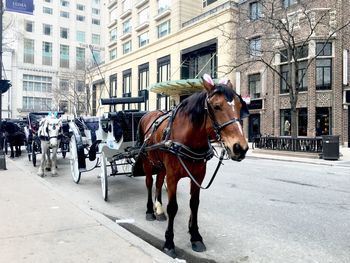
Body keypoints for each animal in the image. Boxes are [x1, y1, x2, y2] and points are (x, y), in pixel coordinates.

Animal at [134, 73, 249, 258]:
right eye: (216, 106)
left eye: (239, 106)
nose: (240, 147)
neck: (189, 138)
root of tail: (148, 115)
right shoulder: (172, 176)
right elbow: (173, 207)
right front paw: (169, 242)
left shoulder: (198, 175)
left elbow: (194, 204)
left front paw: (195, 236)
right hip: (147, 162)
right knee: (149, 183)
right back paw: (150, 211)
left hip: (161, 165)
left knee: (158, 183)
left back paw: (159, 209)